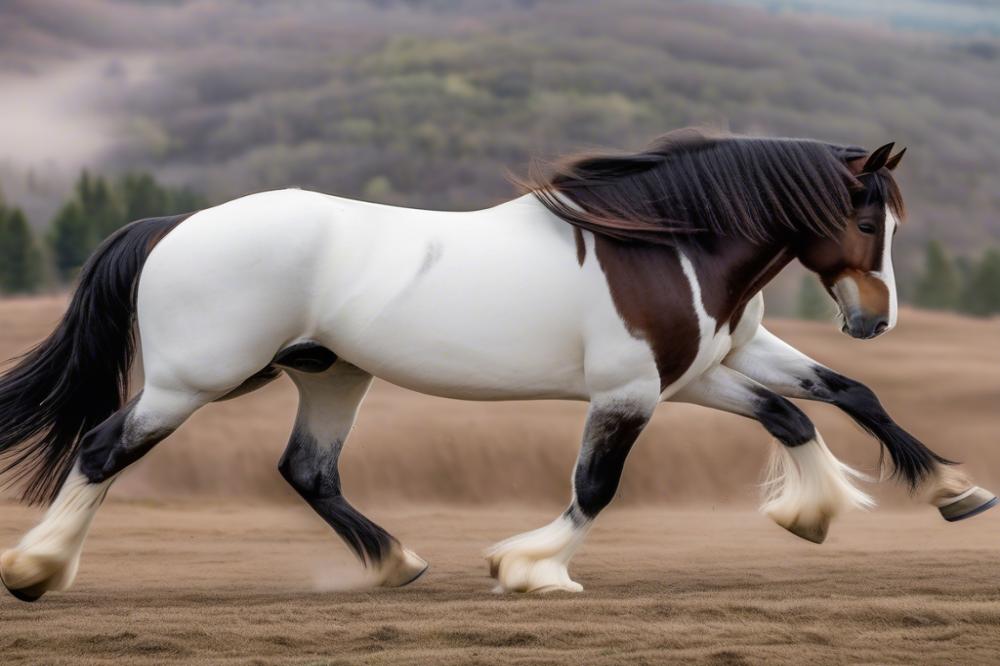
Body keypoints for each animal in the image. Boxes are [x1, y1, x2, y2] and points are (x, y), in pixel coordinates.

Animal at [0, 128, 992, 596]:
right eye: (864, 216)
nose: (874, 317)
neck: (666, 244)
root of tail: (174, 225)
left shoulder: (699, 371)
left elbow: (826, 400)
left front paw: (936, 494)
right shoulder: (631, 391)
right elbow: (595, 487)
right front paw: (530, 566)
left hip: (330, 374)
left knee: (308, 471)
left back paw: (397, 562)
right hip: (190, 382)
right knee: (102, 448)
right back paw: (37, 571)